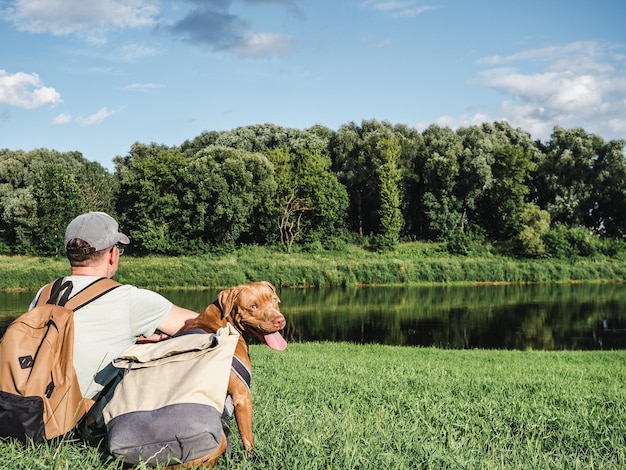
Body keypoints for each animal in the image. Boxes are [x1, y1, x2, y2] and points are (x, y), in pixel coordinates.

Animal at [182, 280, 286, 454]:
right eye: (253, 306)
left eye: (273, 300)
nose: (280, 320)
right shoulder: (242, 396)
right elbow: (247, 437)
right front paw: (252, 456)